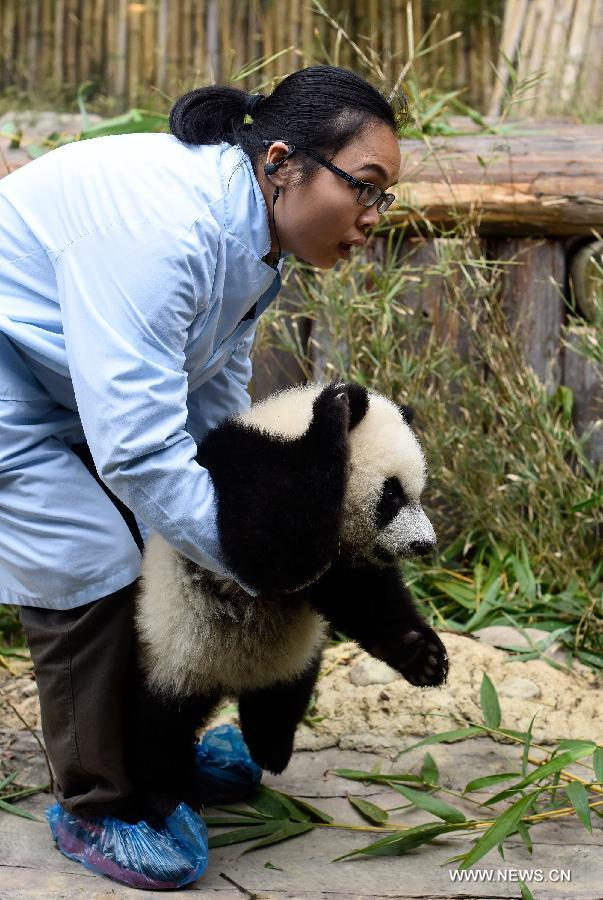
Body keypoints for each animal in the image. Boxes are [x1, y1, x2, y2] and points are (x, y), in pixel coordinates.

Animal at [123, 381, 448, 822]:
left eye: (416, 493)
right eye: (392, 495)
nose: (423, 544)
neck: (283, 428)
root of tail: (229, 681)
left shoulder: (336, 569)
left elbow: (363, 596)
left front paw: (422, 655)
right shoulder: (241, 466)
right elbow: (268, 546)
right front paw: (335, 408)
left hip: (289, 658)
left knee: (280, 702)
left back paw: (270, 750)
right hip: (170, 651)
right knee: (157, 726)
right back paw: (165, 796)